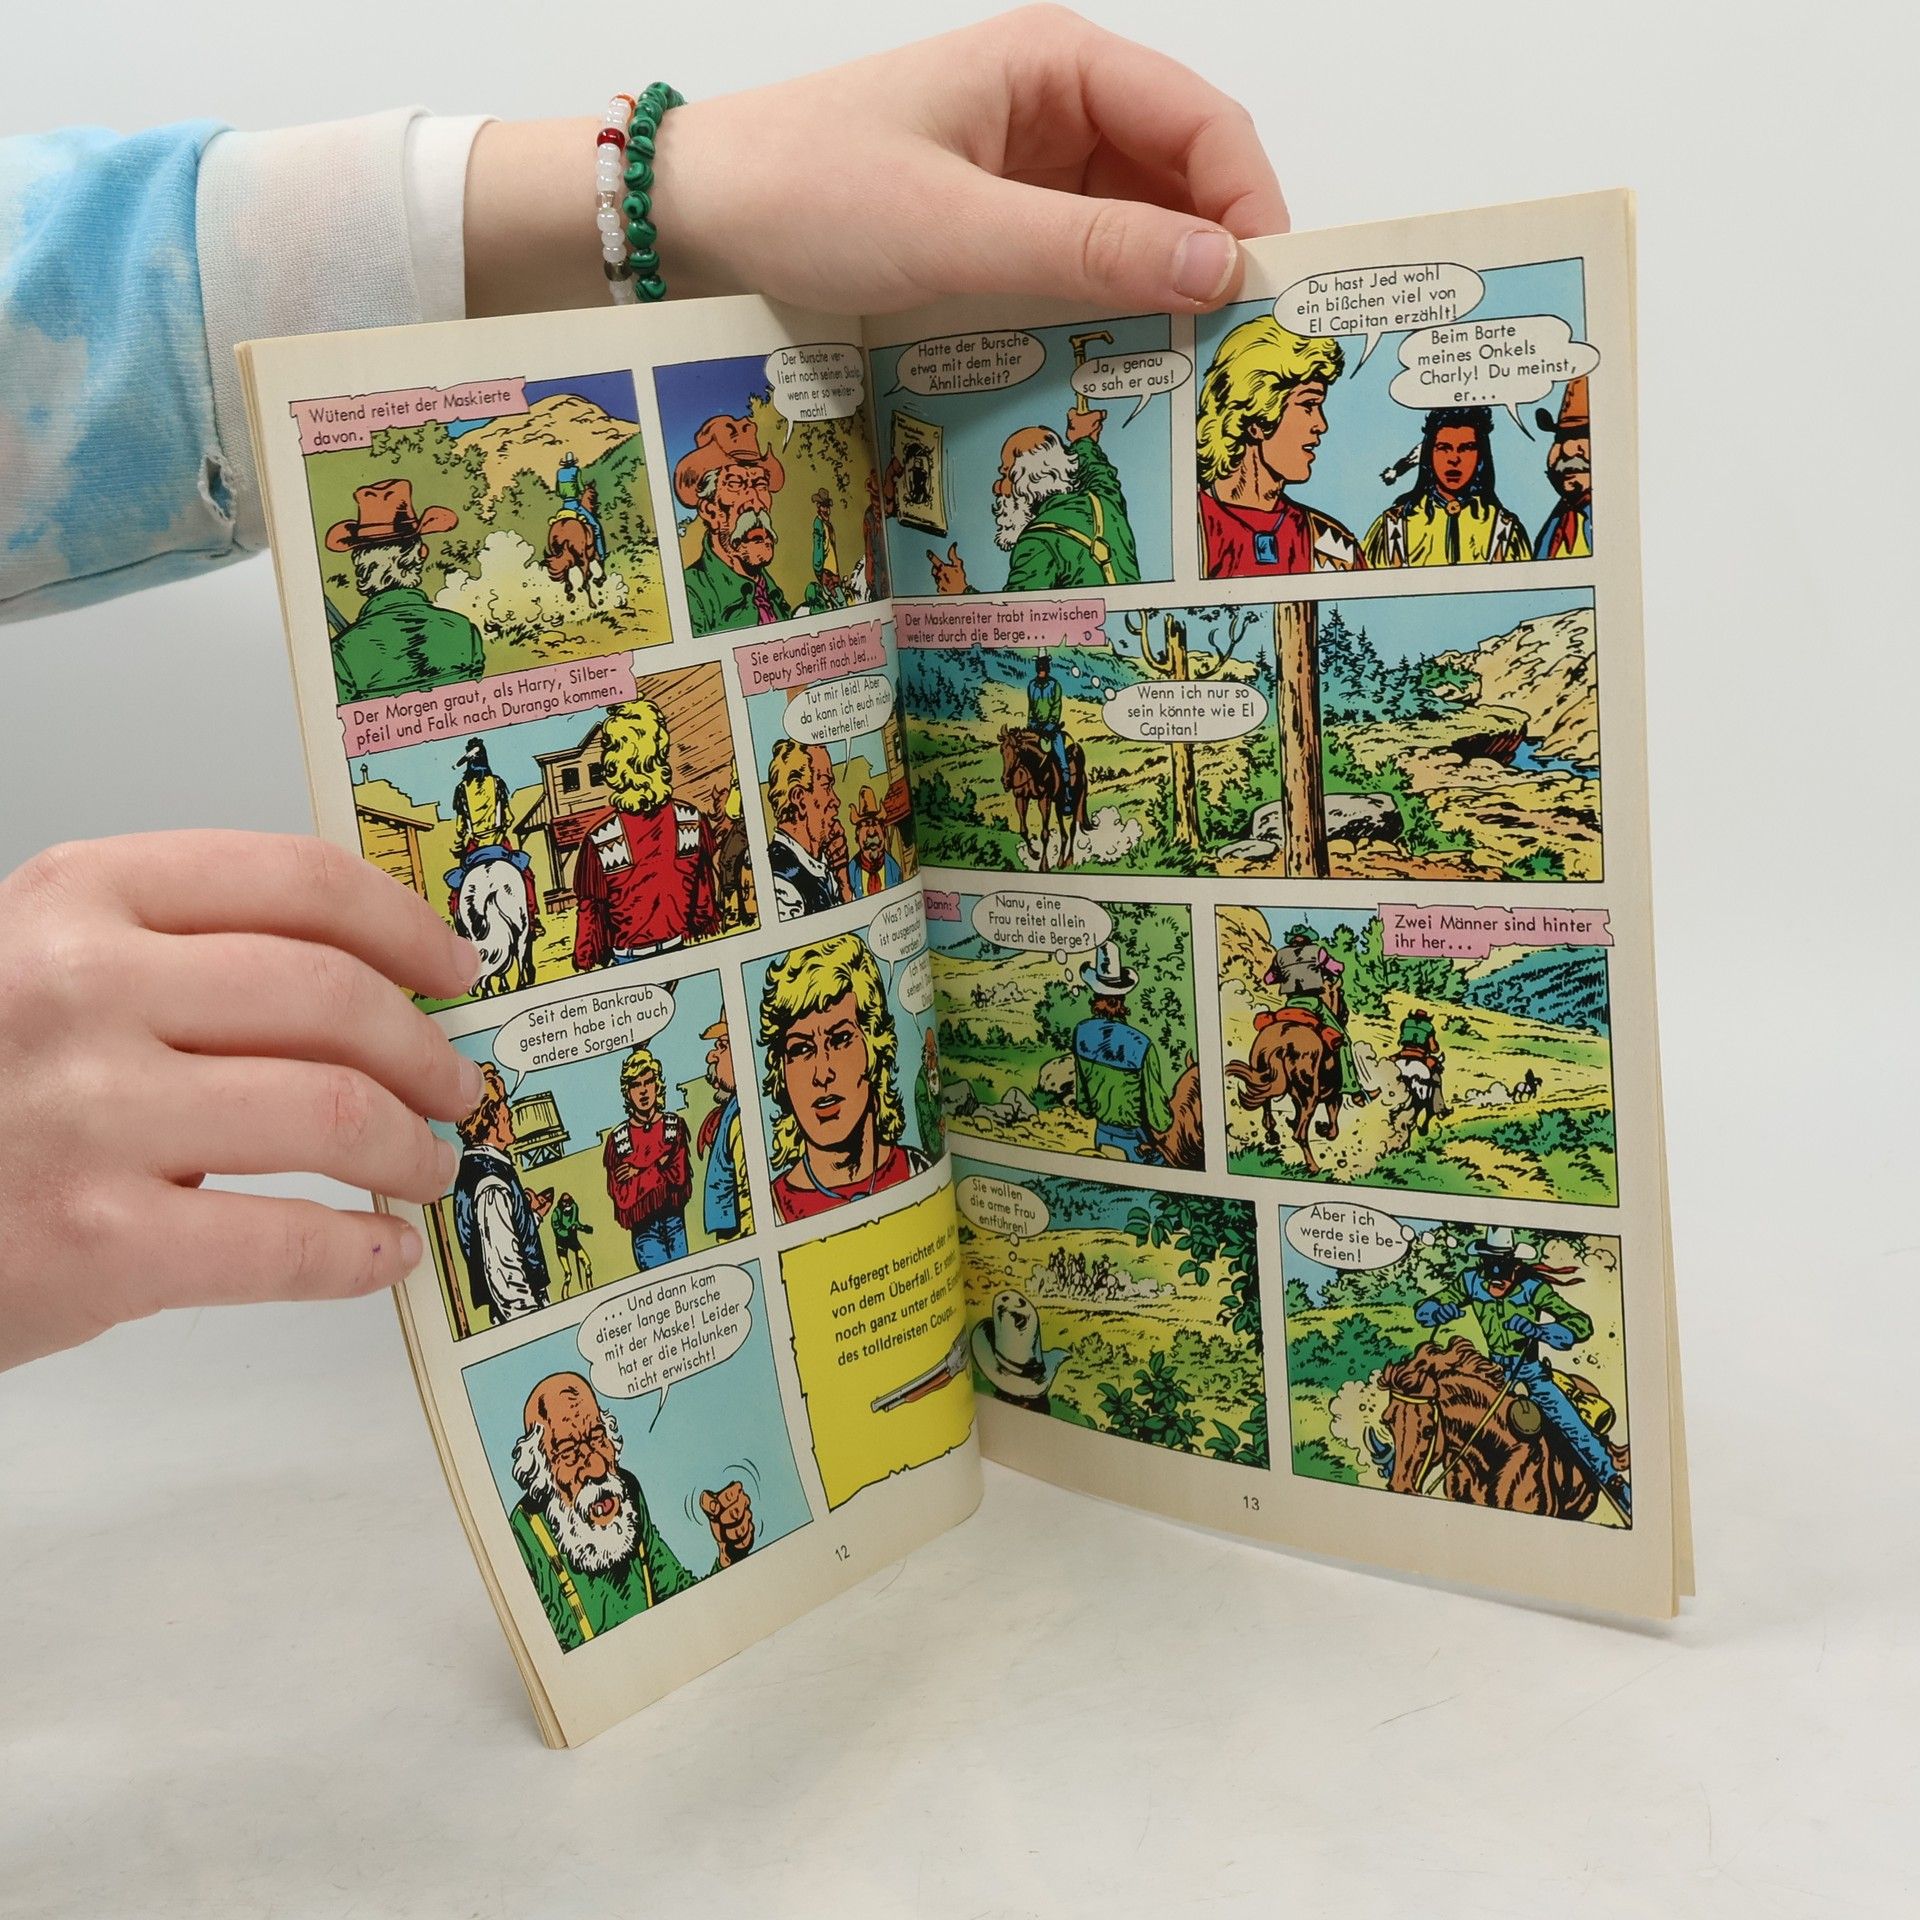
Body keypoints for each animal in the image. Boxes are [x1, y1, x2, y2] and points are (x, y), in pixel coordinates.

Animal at [456, 858, 536, 997]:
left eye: (486, 954)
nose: (470, 987)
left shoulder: (522, 931)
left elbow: (520, 956)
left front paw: (521, 984)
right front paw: (490, 991)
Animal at [998, 726, 1087, 872]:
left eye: (1017, 750)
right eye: (1002, 750)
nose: (1006, 781)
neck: (1033, 768)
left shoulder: (1044, 799)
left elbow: (1045, 834)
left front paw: (1044, 865)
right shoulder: (1021, 798)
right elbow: (1023, 830)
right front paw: (1034, 854)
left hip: (1076, 800)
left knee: (1072, 829)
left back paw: (1069, 859)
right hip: (1059, 805)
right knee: (1064, 835)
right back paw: (1060, 862)